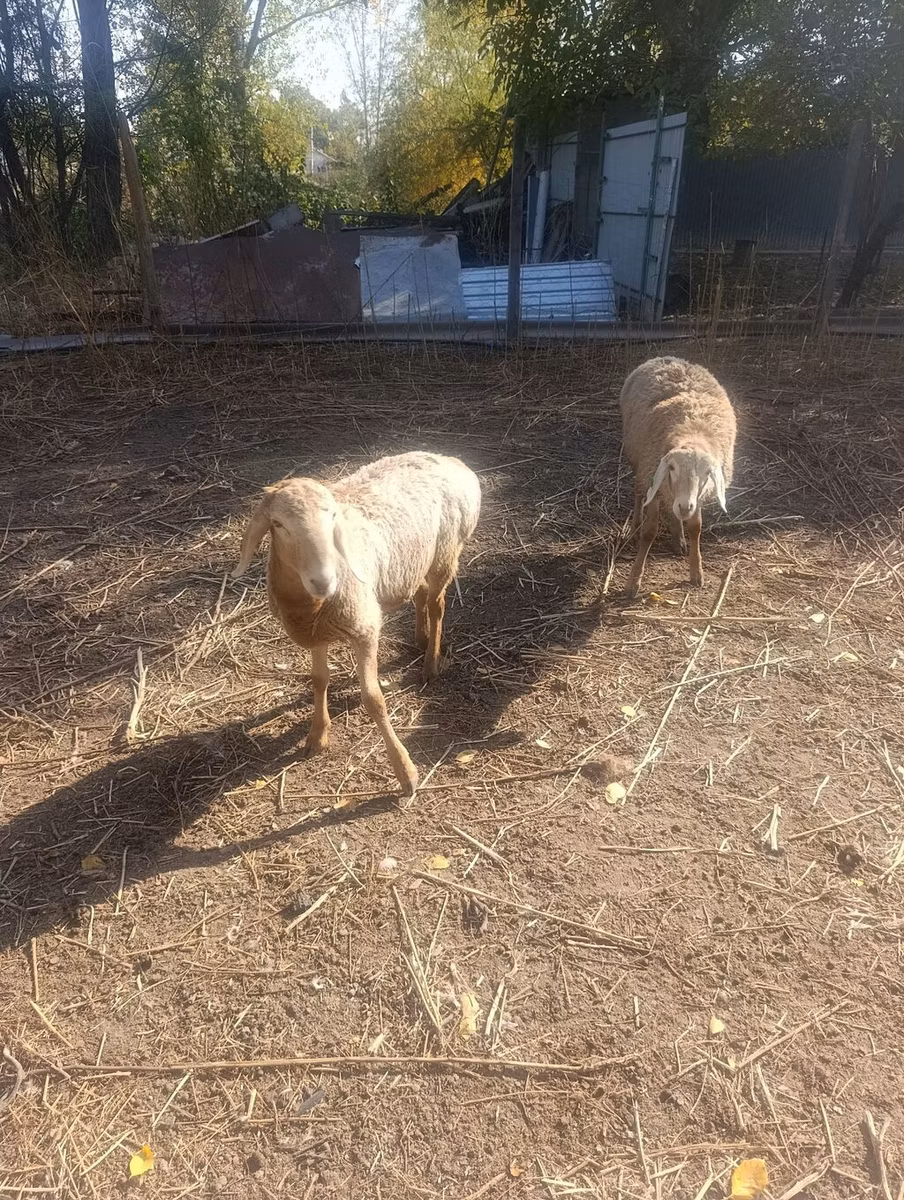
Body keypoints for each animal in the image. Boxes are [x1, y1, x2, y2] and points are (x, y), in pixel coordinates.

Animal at [231, 451, 481, 797]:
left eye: (332, 519)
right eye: (278, 524)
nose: (324, 580)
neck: (312, 605)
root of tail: (447, 459)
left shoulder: (364, 629)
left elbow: (373, 700)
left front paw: (405, 771)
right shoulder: (317, 631)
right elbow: (319, 680)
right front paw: (317, 736)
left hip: (445, 553)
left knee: (437, 605)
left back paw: (431, 663)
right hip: (413, 561)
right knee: (419, 593)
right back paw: (419, 639)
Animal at [619, 356, 736, 598]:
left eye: (707, 472)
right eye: (671, 467)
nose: (685, 506)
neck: (692, 433)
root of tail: (667, 358)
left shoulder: (697, 495)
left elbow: (696, 527)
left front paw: (696, 572)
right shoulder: (653, 479)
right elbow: (649, 532)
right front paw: (634, 581)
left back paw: (678, 537)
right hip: (639, 463)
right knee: (638, 494)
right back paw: (635, 526)